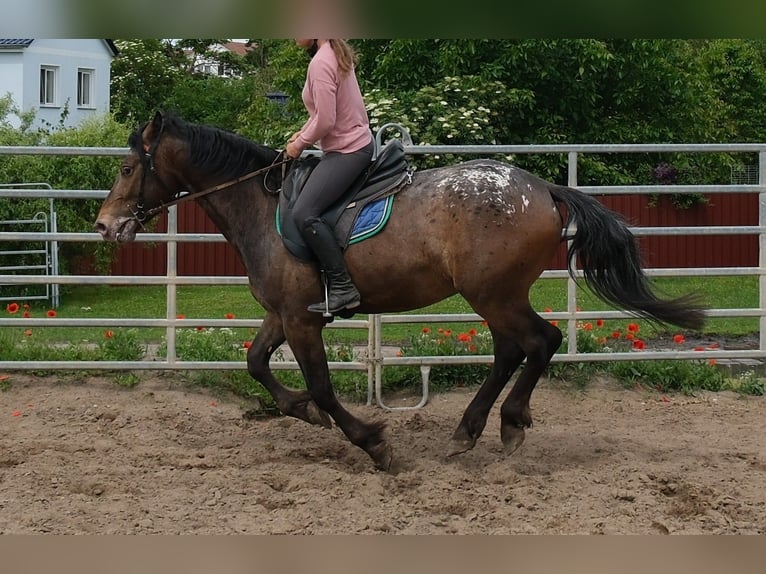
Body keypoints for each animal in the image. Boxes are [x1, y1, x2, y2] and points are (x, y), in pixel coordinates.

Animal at [95, 111, 706, 471]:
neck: (264, 208)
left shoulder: (303, 320)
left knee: (540, 342)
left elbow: (321, 387)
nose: (104, 225)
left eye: (126, 168)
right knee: (514, 349)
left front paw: (373, 442)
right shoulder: (283, 314)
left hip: (494, 294)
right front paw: (300, 412)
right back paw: (472, 429)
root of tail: (542, 188)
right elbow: (257, 364)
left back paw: (506, 423)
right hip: (495, 296)